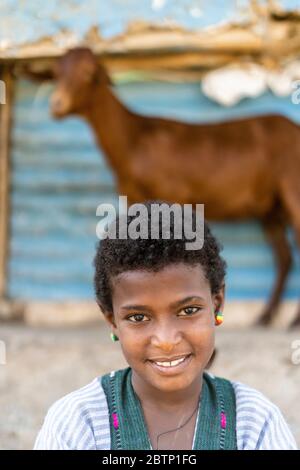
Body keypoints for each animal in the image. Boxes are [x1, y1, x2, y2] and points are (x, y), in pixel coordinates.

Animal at [47, 47, 300, 326]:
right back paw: (265, 316)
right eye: (56, 72)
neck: (134, 139)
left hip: (292, 186)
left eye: (89, 73)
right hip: (271, 207)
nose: (56, 104)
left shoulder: (172, 194)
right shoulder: (134, 198)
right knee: (284, 257)